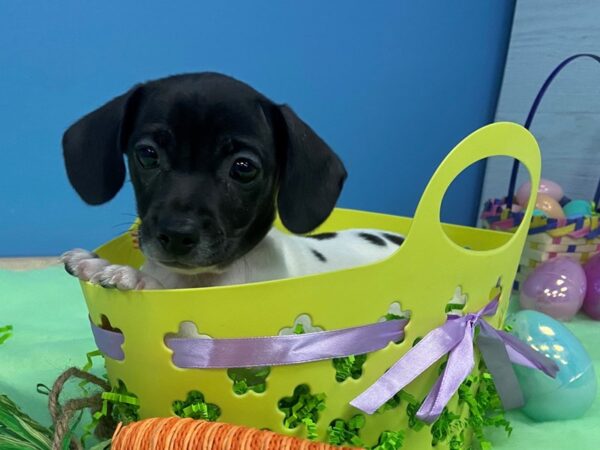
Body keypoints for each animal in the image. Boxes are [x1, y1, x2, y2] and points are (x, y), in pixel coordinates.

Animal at [61, 73, 404, 288]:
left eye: (243, 168)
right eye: (147, 154)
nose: (176, 234)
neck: (200, 280)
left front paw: (134, 277)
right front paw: (97, 263)